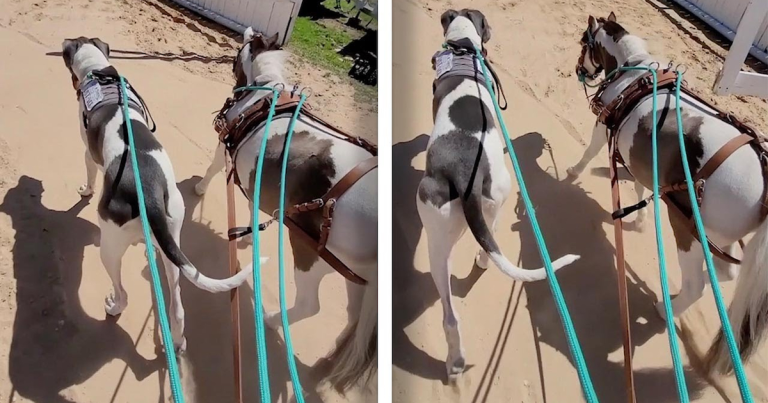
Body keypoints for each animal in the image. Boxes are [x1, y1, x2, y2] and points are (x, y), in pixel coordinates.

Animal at [60, 38, 258, 354]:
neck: (100, 72)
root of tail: (150, 194)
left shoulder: (88, 153)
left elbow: (89, 176)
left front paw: (85, 190)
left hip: (109, 248)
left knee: (123, 292)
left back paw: (114, 306)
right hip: (173, 242)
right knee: (177, 307)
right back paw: (177, 341)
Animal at [416, 10, 580, 378]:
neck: (464, 48)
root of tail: (469, 175)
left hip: (434, 229)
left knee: (450, 315)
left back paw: (454, 362)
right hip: (499, 196)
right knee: (489, 243)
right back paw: (482, 259)